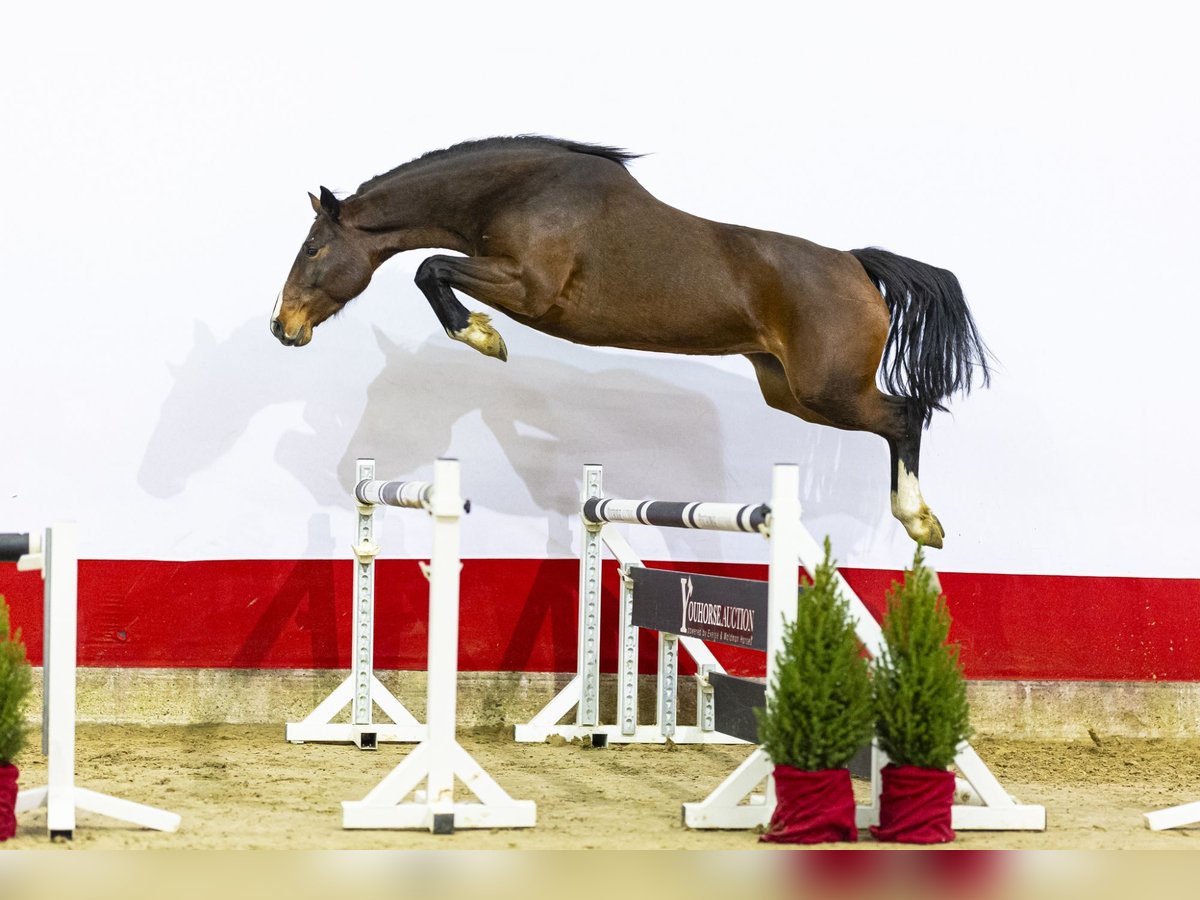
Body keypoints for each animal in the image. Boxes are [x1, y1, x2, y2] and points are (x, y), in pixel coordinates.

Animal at [271, 136, 989, 547]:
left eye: (313, 249)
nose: (283, 326)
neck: (519, 192)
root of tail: (855, 264)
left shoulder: (528, 288)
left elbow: (430, 268)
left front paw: (481, 336)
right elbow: (434, 270)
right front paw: (480, 336)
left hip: (829, 390)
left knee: (905, 415)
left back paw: (919, 521)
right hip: (789, 391)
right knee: (898, 417)